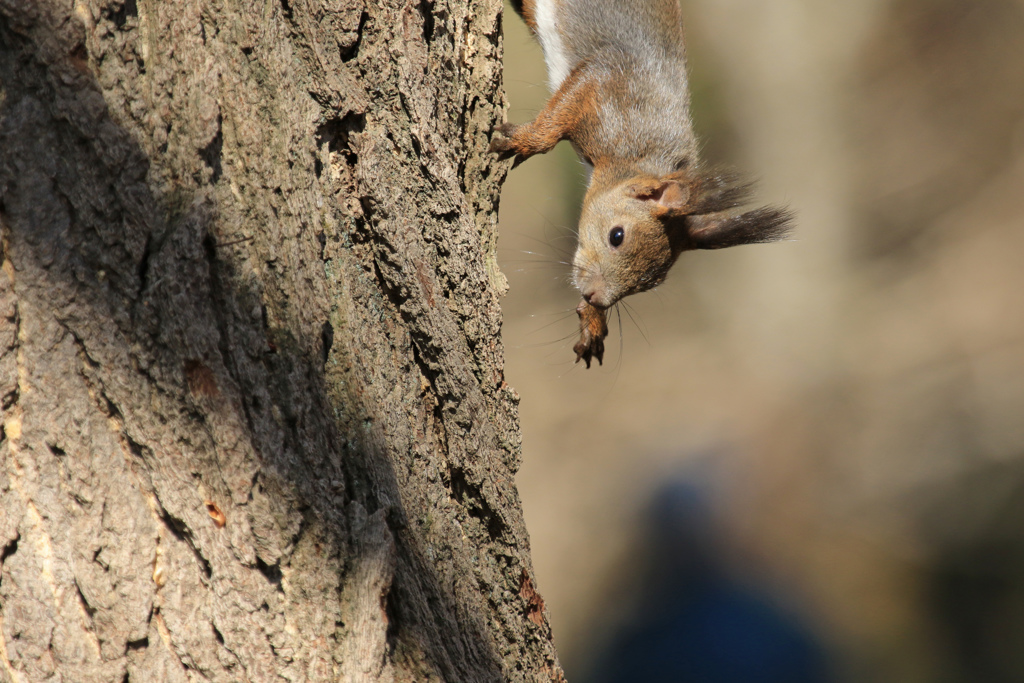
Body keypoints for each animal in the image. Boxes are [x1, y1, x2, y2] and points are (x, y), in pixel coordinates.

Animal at [491, 0, 786, 368]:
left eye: (651, 283)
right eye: (616, 236)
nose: (596, 296)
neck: (642, 160)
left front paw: (592, 321)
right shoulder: (605, 82)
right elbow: (557, 121)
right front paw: (524, 141)